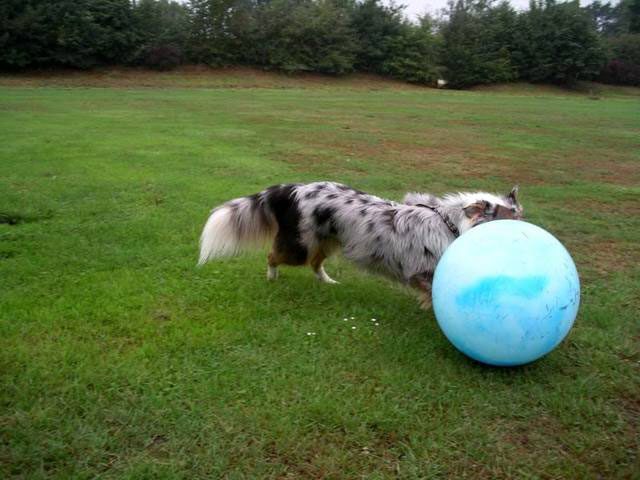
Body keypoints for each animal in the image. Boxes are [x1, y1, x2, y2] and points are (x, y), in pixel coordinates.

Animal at [198, 182, 524, 310]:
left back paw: (328, 282)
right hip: (301, 244)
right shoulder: (422, 272)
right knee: (273, 255)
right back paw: (272, 278)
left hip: (329, 241)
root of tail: (290, 189)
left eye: (522, 218)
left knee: (315, 264)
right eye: (509, 222)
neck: (451, 225)